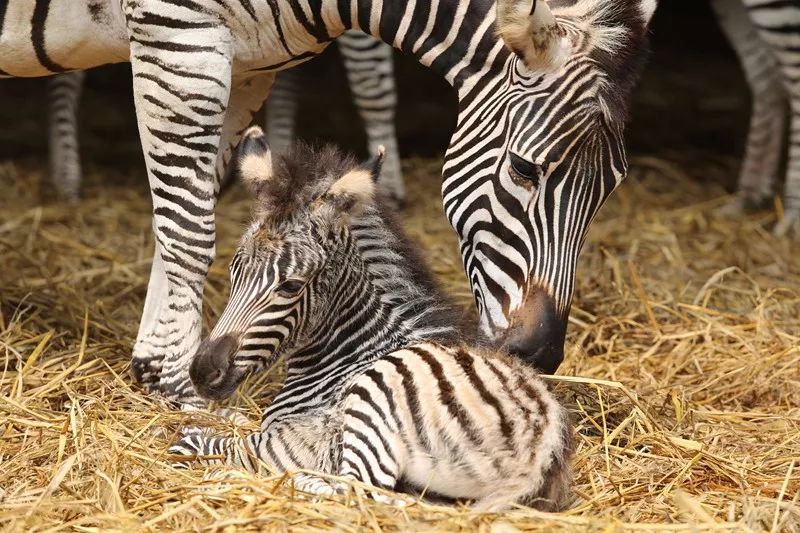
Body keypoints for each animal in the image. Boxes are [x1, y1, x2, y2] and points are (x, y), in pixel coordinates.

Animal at [1, 0, 656, 406]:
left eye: (613, 186)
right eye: (523, 168)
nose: (539, 355)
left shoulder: (243, 63)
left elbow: (189, 206)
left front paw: (155, 363)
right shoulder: (178, 37)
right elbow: (189, 230)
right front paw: (180, 385)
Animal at [169, 127, 572, 510]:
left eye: (291, 286)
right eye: (234, 271)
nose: (202, 372)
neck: (351, 349)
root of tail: (543, 450)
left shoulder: (283, 444)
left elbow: (201, 441)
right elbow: (224, 420)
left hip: (374, 401)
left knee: (361, 492)